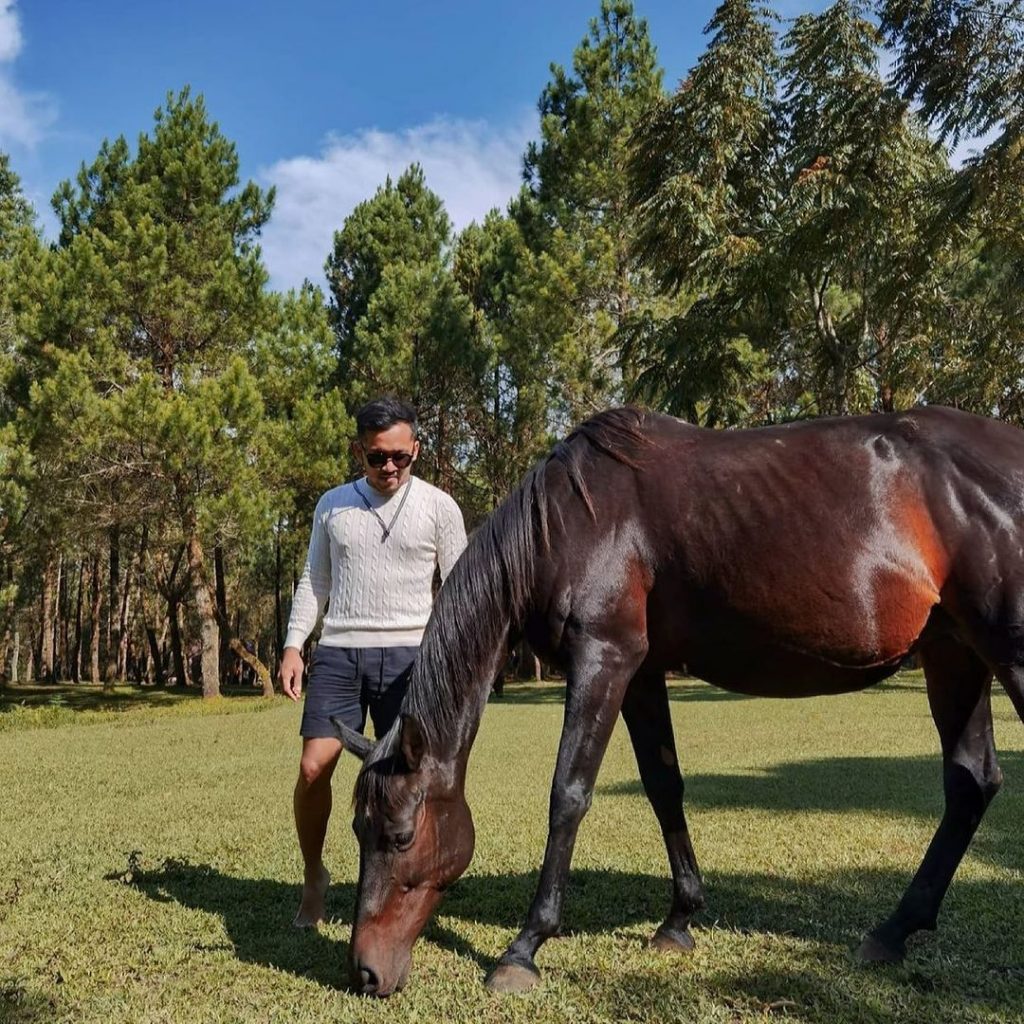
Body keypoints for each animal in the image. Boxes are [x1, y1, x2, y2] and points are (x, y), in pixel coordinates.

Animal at [333, 403, 1024, 995]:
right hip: (955, 654)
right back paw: (893, 930)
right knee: (971, 783)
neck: (572, 518)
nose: (365, 972)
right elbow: (664, 784)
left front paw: (524, 948)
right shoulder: (640, 674)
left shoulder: (604, 659)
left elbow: (568, 794)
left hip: (1004, 653)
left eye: (400, 836)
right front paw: (679, 919)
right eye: (357, 828)